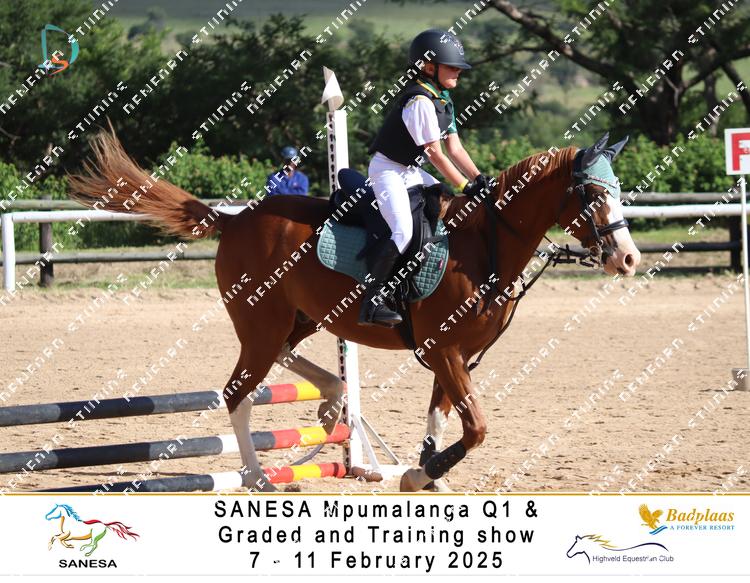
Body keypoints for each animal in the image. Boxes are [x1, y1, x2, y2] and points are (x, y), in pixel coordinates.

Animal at [68, 131, 641, 492]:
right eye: (592, 193)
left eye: (616, 189)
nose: (629, 258)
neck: (485, 246)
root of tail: (233, 220)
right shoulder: (445, 349)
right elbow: (476, 427)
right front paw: (420, 474)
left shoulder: (453, 355)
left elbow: (440, 417)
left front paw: (425, 474)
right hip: (259, 323)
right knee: (238, 392)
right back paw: (258, 477)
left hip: (295, 321)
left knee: (287, 362)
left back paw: (332, 399)